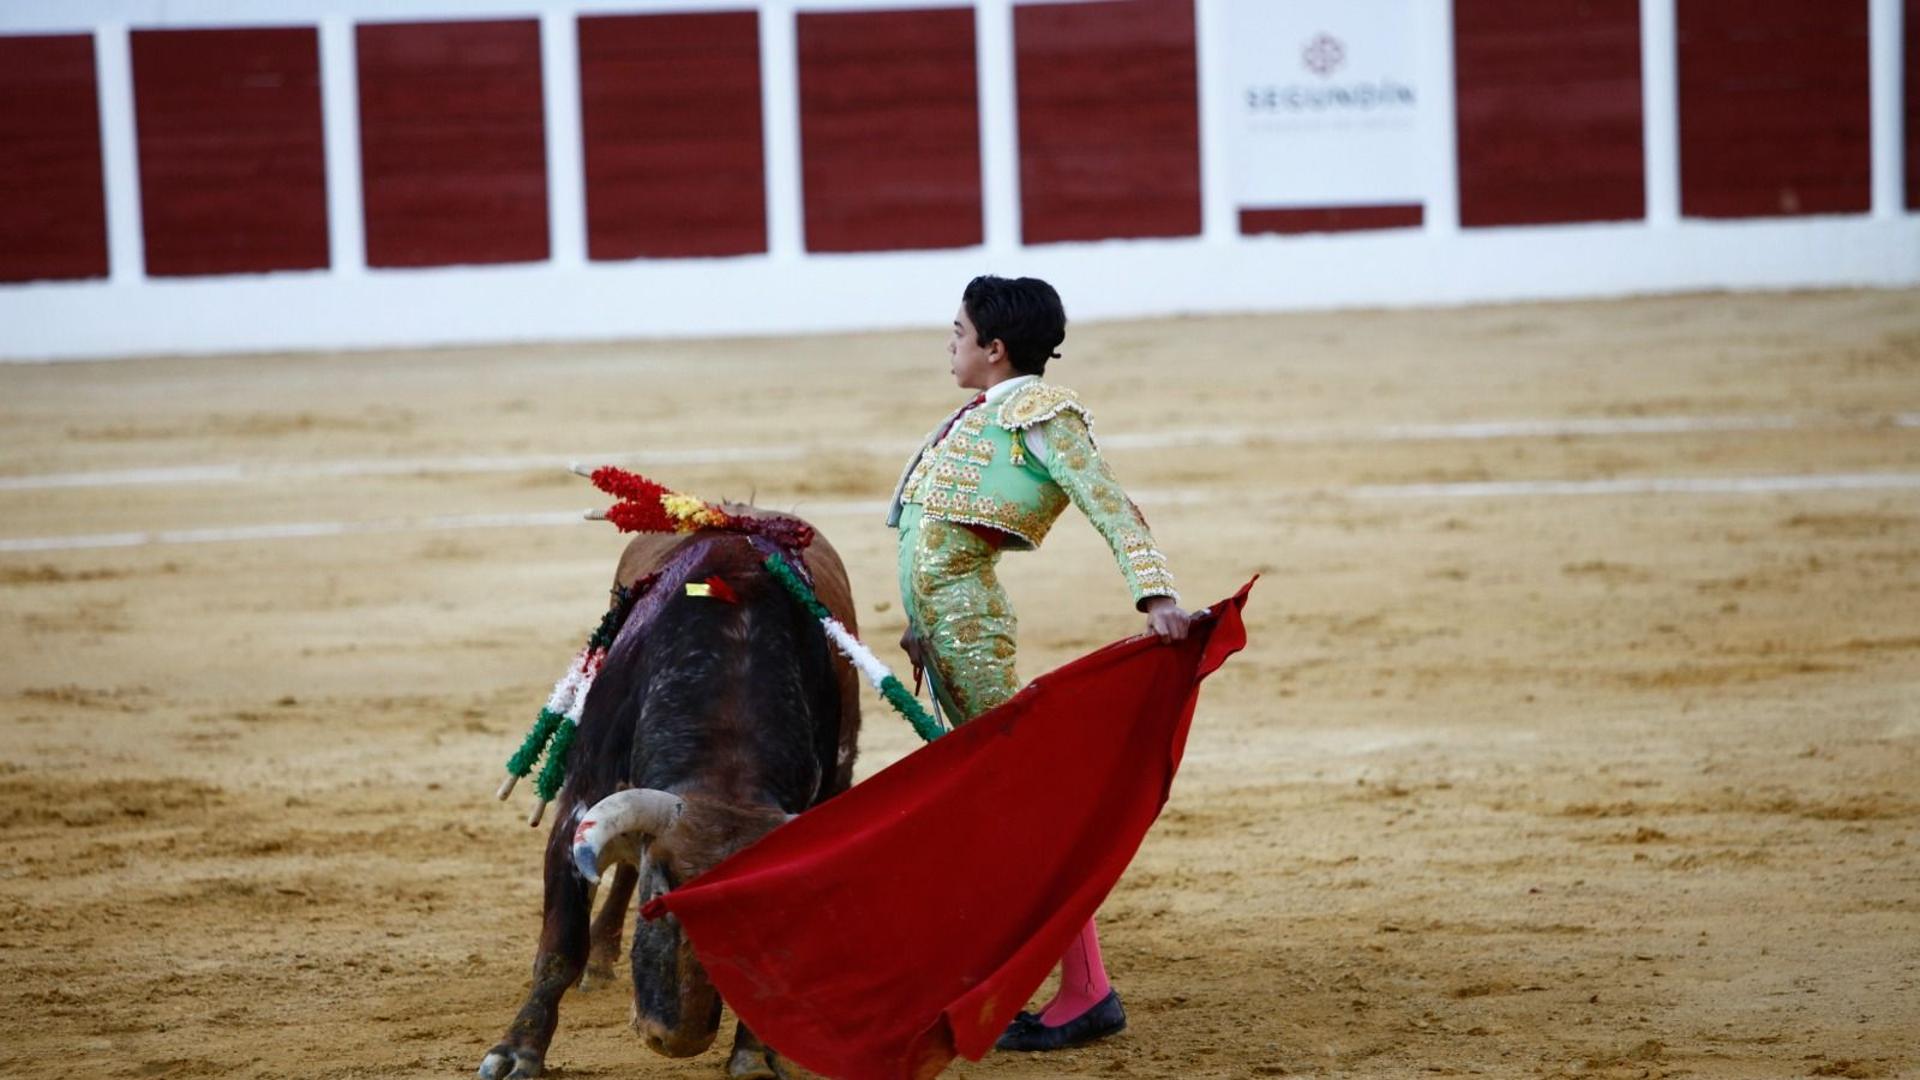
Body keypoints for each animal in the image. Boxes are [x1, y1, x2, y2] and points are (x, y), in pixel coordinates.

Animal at [480, 515, 864, 1076]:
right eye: (660, 897)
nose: (677, 1040)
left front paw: (753, 1054)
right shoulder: (580, 807)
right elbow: (560, 946)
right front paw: (516, 1051)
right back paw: (599, 963)